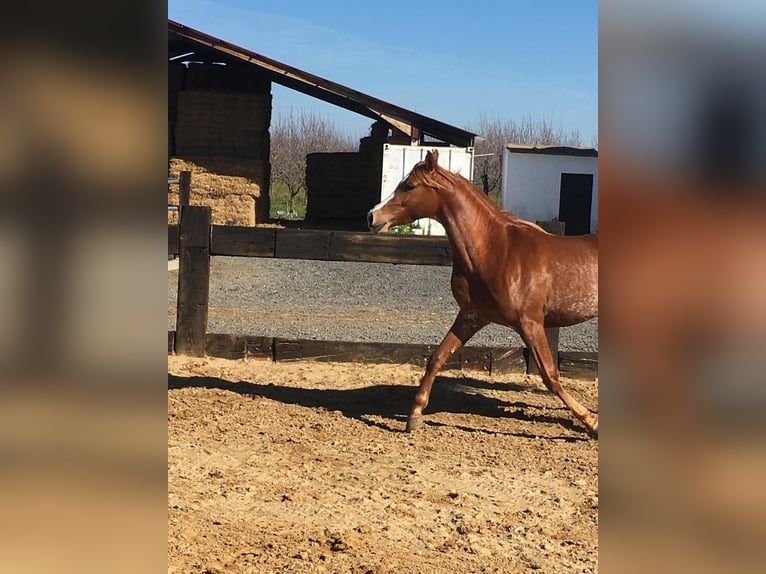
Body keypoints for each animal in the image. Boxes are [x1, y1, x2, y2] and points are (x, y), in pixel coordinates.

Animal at [368, 150, 600, 436]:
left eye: (409, 185)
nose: (371, 216)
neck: (496, 250)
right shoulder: (472, 315)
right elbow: (438, 357)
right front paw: (414, 416)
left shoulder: (530, 323)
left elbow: (550, 375)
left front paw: (591, 422)